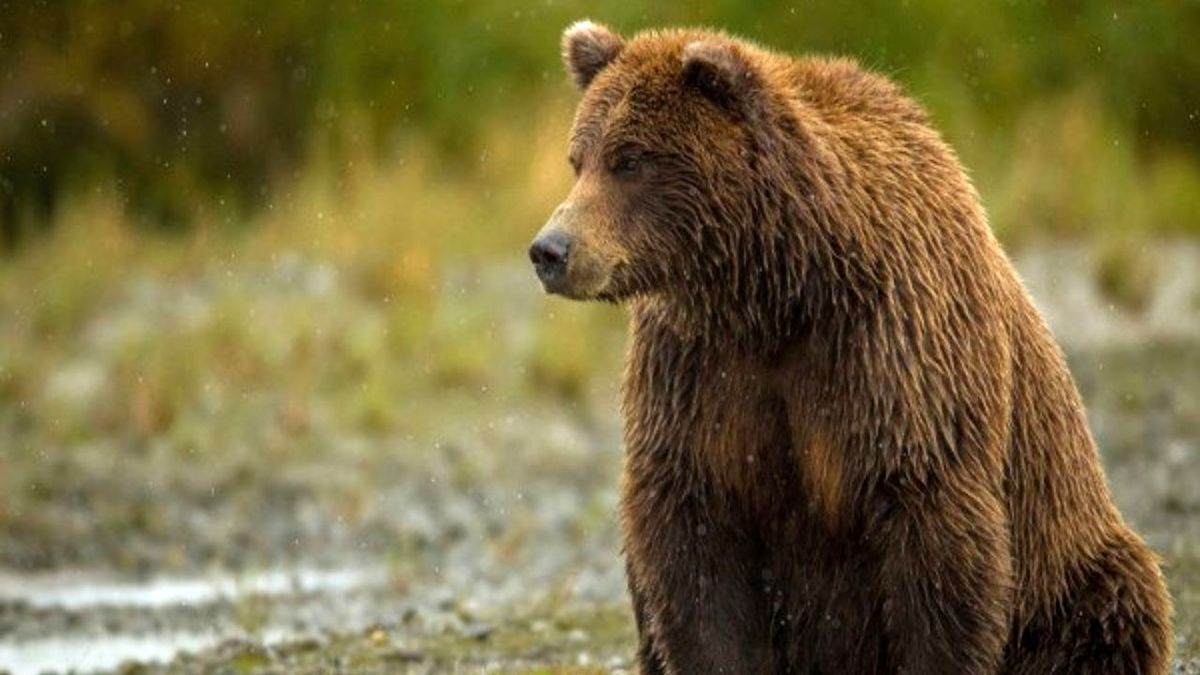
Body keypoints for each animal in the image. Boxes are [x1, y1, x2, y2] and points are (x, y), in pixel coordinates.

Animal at [532, 21, 1171, 672]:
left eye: (629, 160)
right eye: (578, 159)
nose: (550, 249)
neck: (779, 291)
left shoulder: (897, 354)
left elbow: (936, 547)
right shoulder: (696, 369)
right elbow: (694, 548)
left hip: (1071, 563)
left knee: (1111, 603)